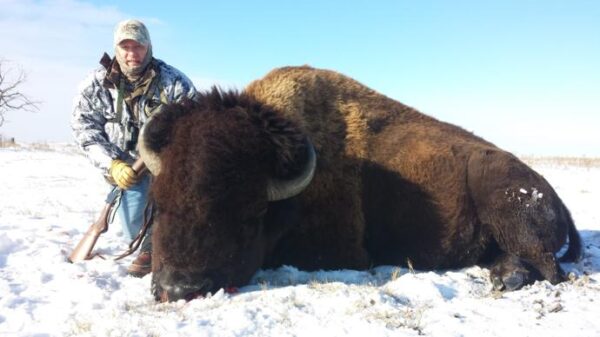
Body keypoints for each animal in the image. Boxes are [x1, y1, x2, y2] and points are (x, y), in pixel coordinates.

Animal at [141, 64, 580, 300]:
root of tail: (554, 197)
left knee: (550, 267)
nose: (178, 288)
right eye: (159, 203)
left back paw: (508, 279)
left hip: (505, 203)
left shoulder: (342, 253)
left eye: (251, 213)